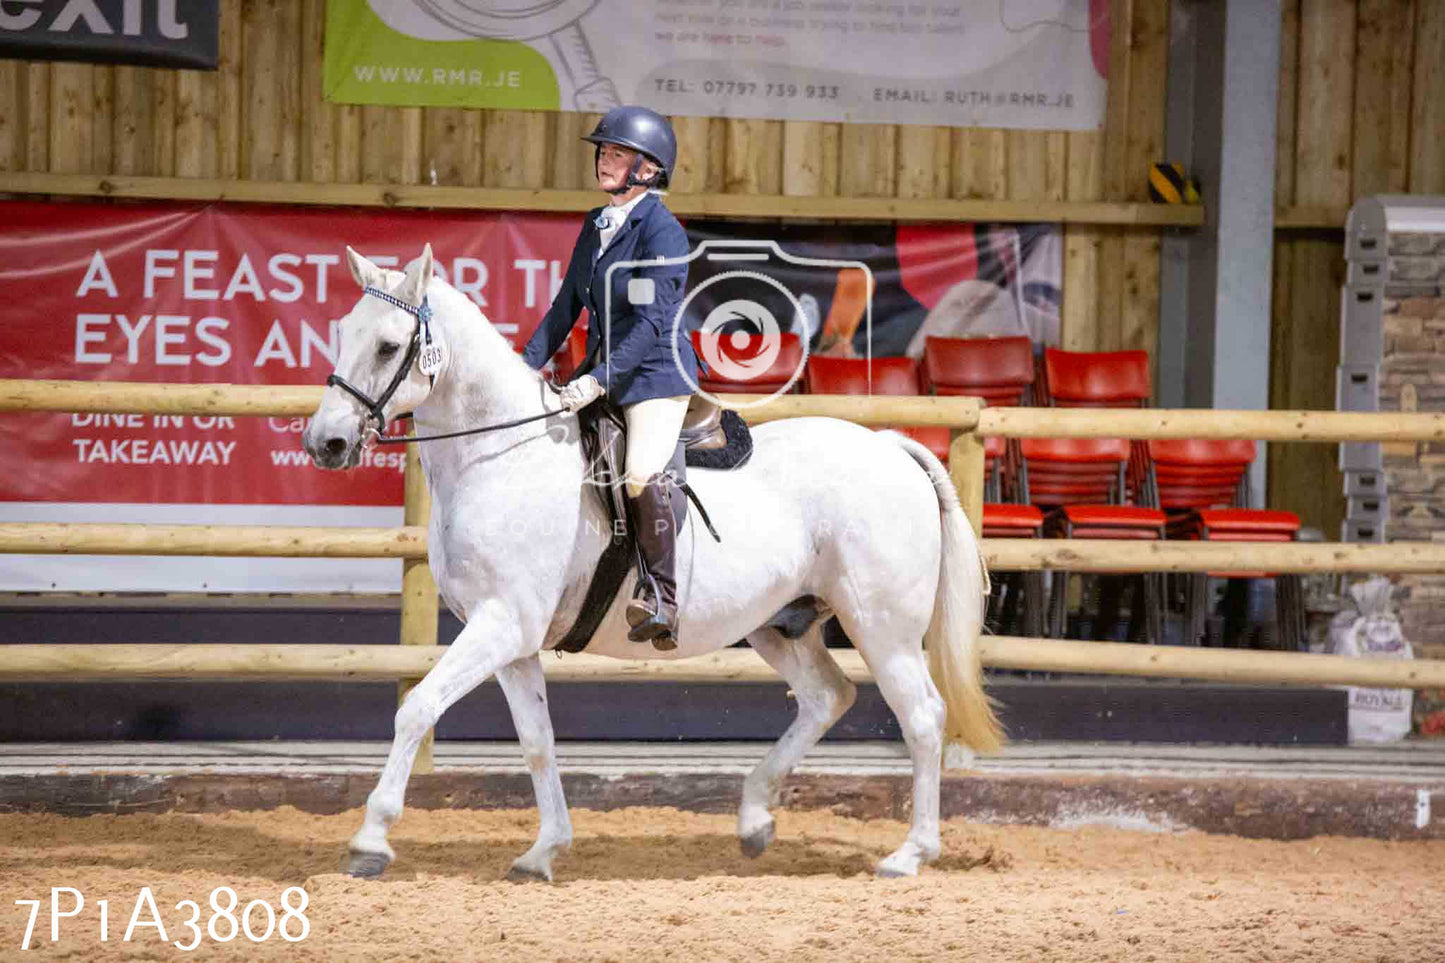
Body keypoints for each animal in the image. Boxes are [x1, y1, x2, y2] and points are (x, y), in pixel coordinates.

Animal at [304, 241, 1005, 879]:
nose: (325, 442)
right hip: (780, 624)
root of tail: (889, 446)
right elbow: (537, 742)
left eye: (388, 346)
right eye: (341, 334)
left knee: (922, 717)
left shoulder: (500, 624)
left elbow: (417, 707)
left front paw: (370, 840)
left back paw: (910, 854)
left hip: (882, 628)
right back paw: (754, 820)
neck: (501, 455)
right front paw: (543, 850)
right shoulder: (512, 640)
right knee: (825, 697)